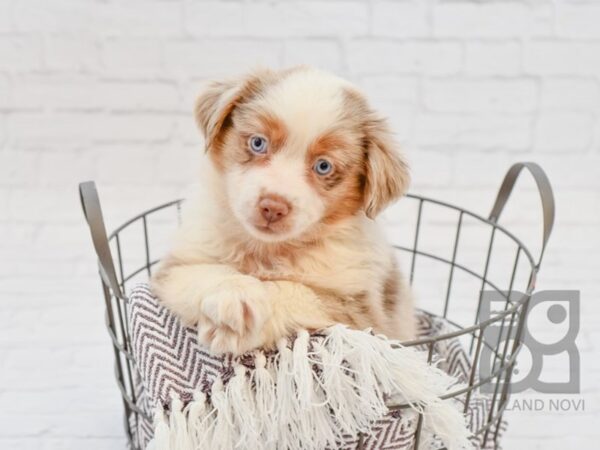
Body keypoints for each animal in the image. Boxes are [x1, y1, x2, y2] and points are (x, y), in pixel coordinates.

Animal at [150, 67, 414, 356]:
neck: (268, 249)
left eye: (323, 166)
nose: (273, 207)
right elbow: (208, 271)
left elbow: (295, 290)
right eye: (258, 143)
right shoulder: (175, 267)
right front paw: (235, 295)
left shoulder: (359, 310)